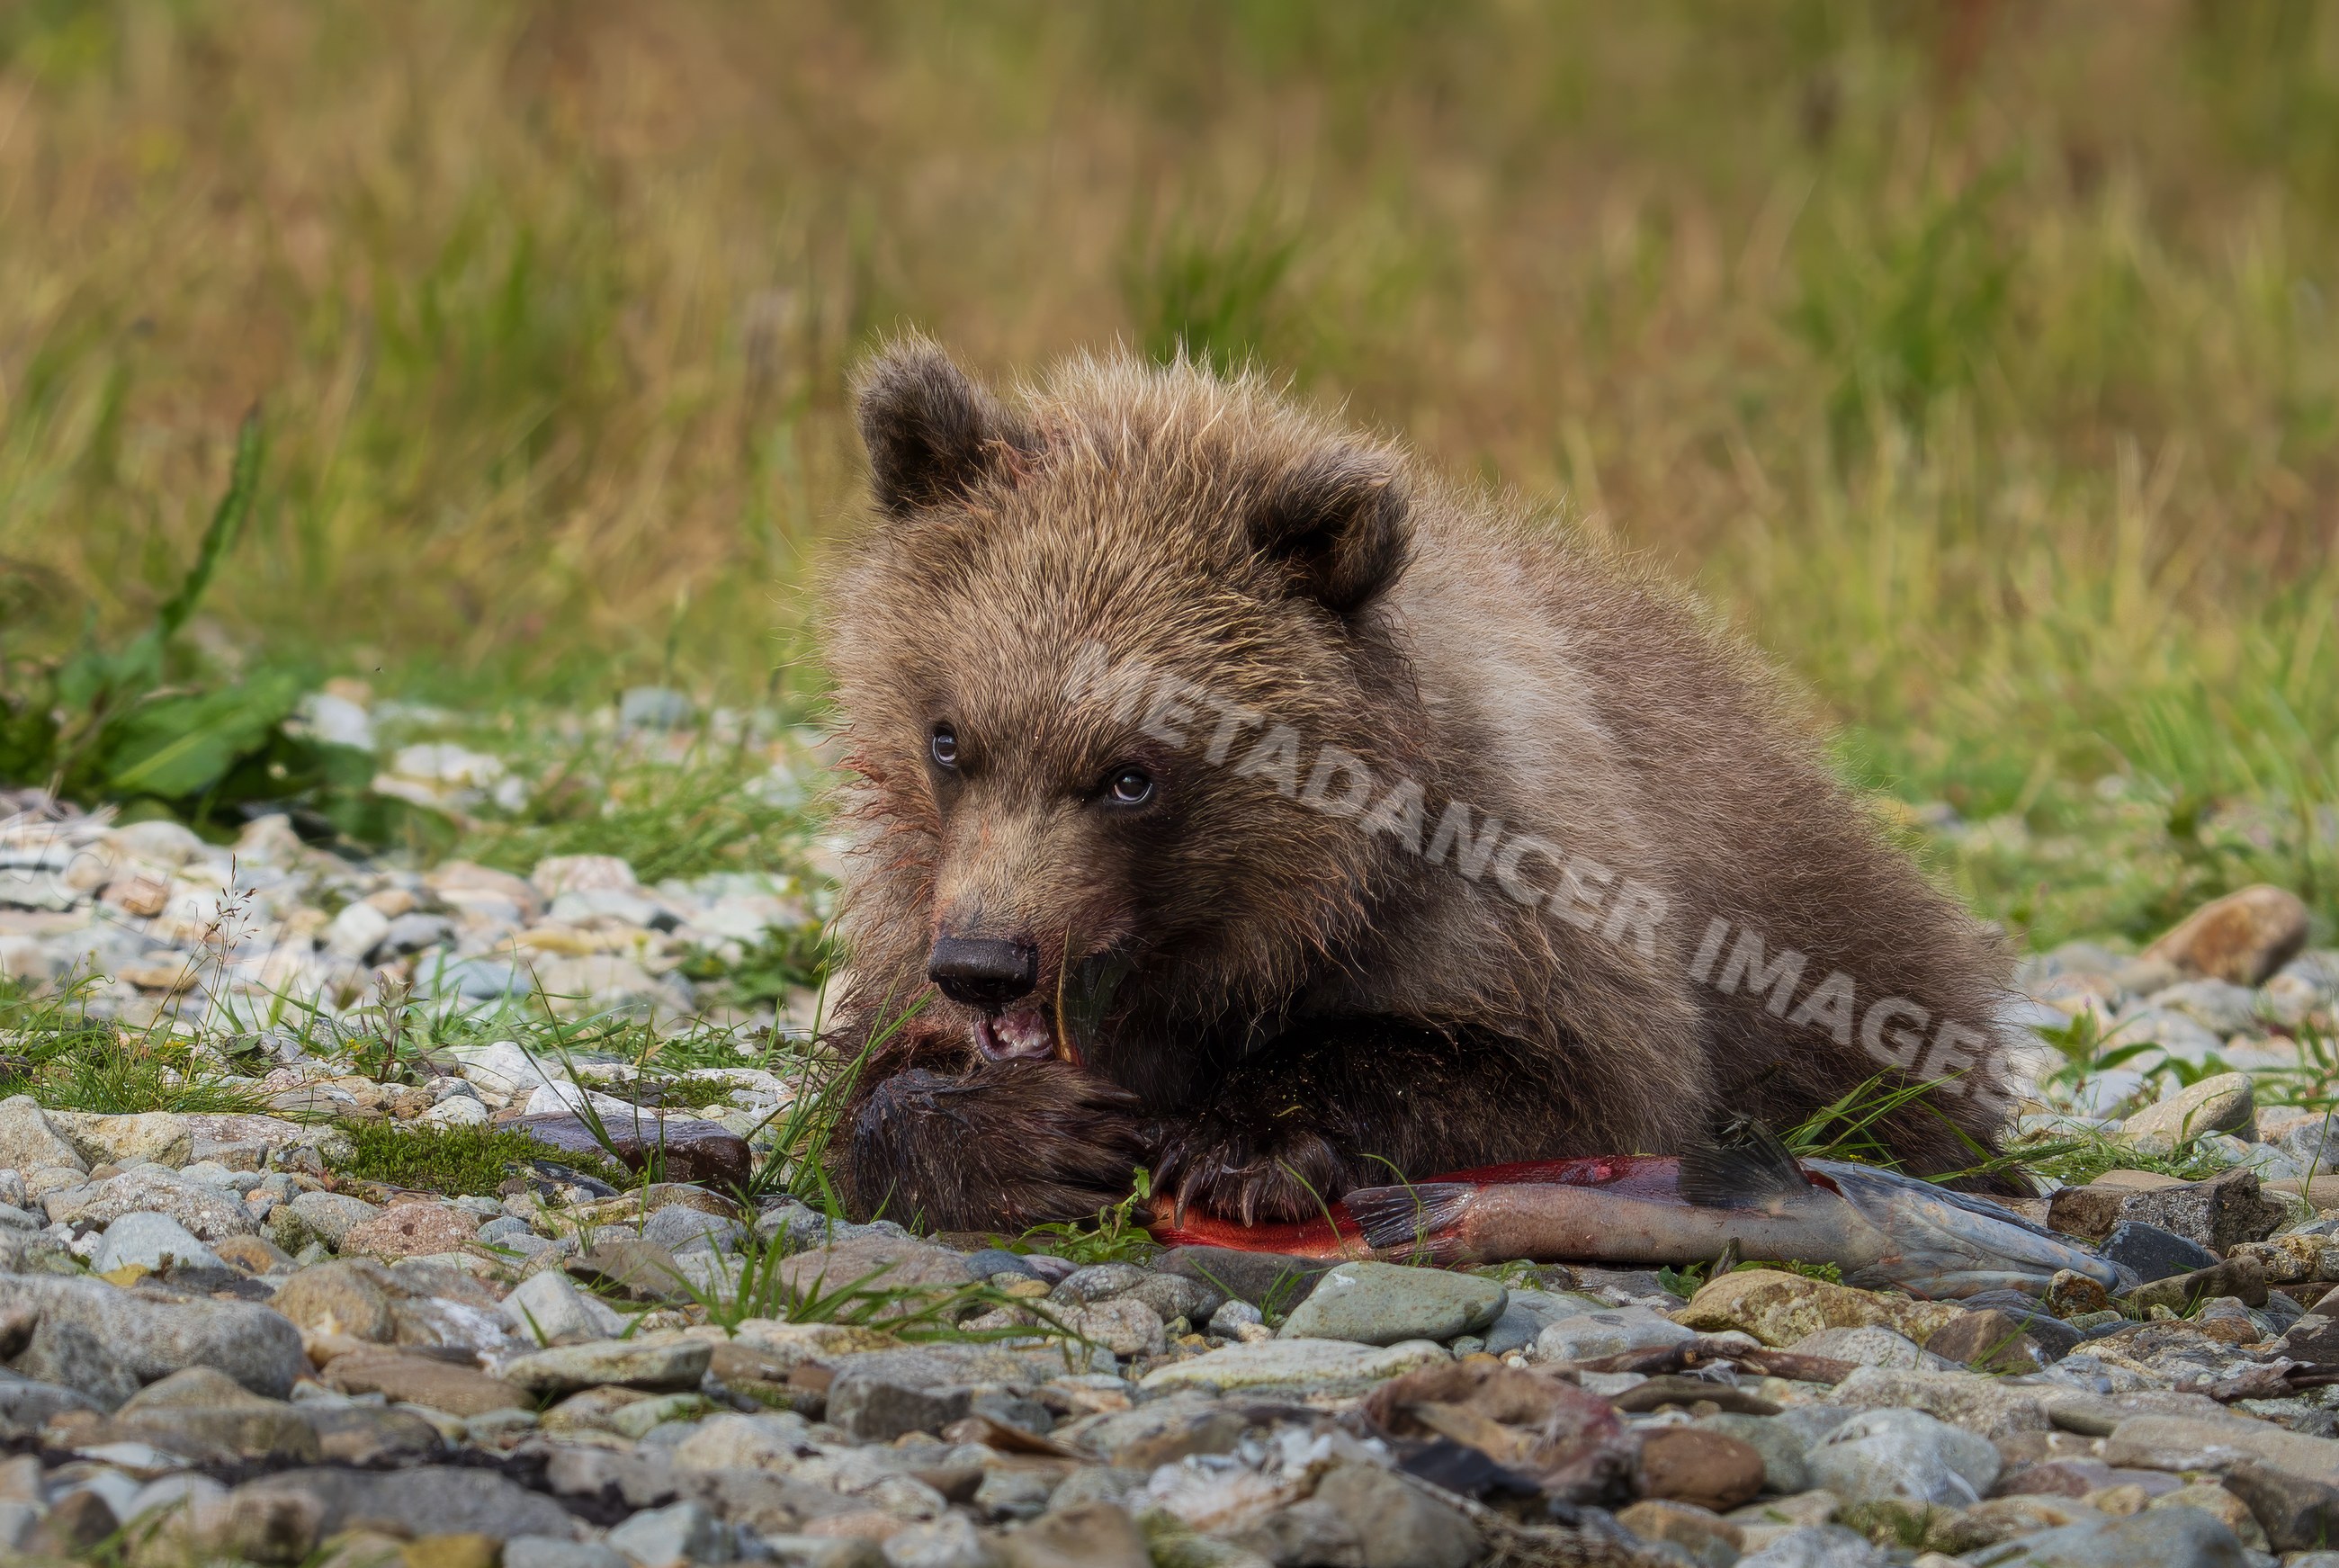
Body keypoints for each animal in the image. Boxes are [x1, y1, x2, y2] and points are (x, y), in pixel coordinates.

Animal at [821, 338, 2017, 1232]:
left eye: (1130, 776)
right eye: (947, 736)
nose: (986, 963)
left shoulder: (1514, 896)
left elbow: (1553, 1077)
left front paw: (1242, 1142)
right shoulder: (914, 902)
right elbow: (864, 1076)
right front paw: (1027, 1140)